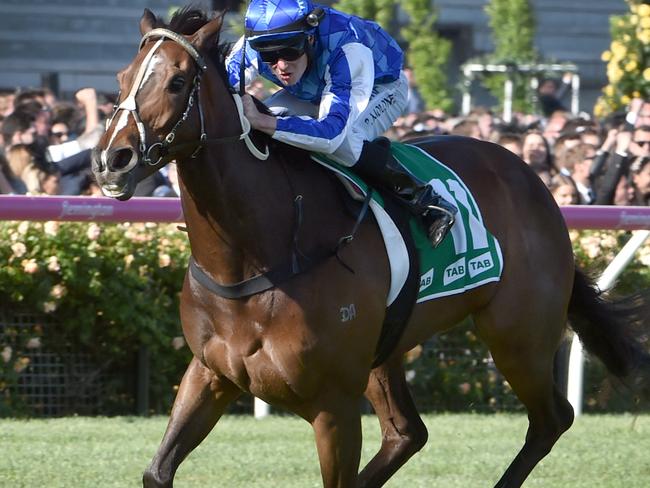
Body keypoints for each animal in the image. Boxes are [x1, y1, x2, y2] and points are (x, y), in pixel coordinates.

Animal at [92, 7, 648, 488]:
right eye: (121, 78)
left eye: (177, 82)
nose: (112, 160)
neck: (253, 255)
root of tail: (533, 180)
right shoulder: (210, 374)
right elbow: (157, 470)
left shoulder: (333, 404)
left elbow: (337, 129)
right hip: (391, 347)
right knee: (408, 433)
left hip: (519, 336)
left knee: (552, 418)